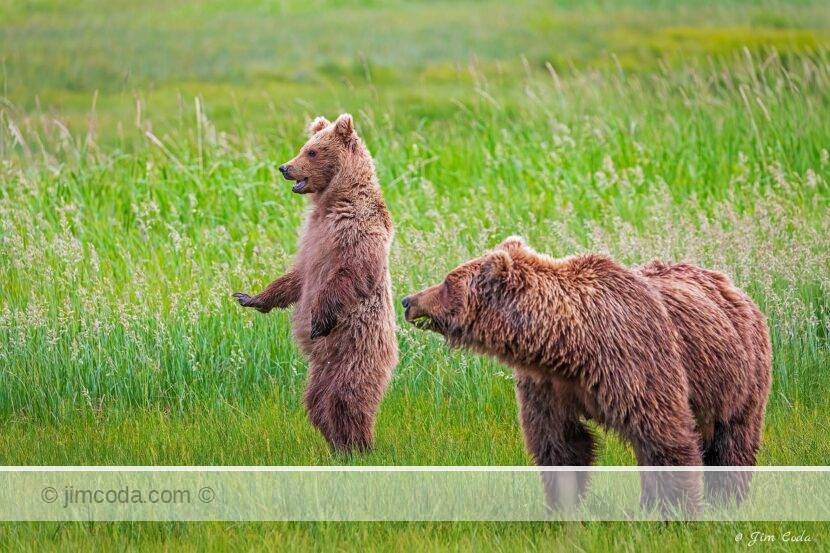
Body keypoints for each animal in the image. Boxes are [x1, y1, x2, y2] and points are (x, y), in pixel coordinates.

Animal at [234, 113, 398, 453]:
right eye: (303, 147)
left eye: (311, 152)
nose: (284, 167)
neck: (332, 200)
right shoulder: (311, 238)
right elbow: (297, 276)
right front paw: (251, 297)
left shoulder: (357, 228)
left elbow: (352, 271)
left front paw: (319, 318)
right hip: (322, 364)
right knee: (317, 398)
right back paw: (335, 443)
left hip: (355, 344)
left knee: (348, 394)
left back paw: (359, 445)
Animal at [402, 236, 771, 512]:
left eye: (448, 280)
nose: (408, 300)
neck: (569, 345)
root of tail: (732, 285)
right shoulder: (548, 384)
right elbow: (560, 443)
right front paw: (563, 506)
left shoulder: (636, 363)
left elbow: (664, 435)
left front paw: (676, 510)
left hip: (739, 376)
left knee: (732, 440)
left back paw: (725, 501)